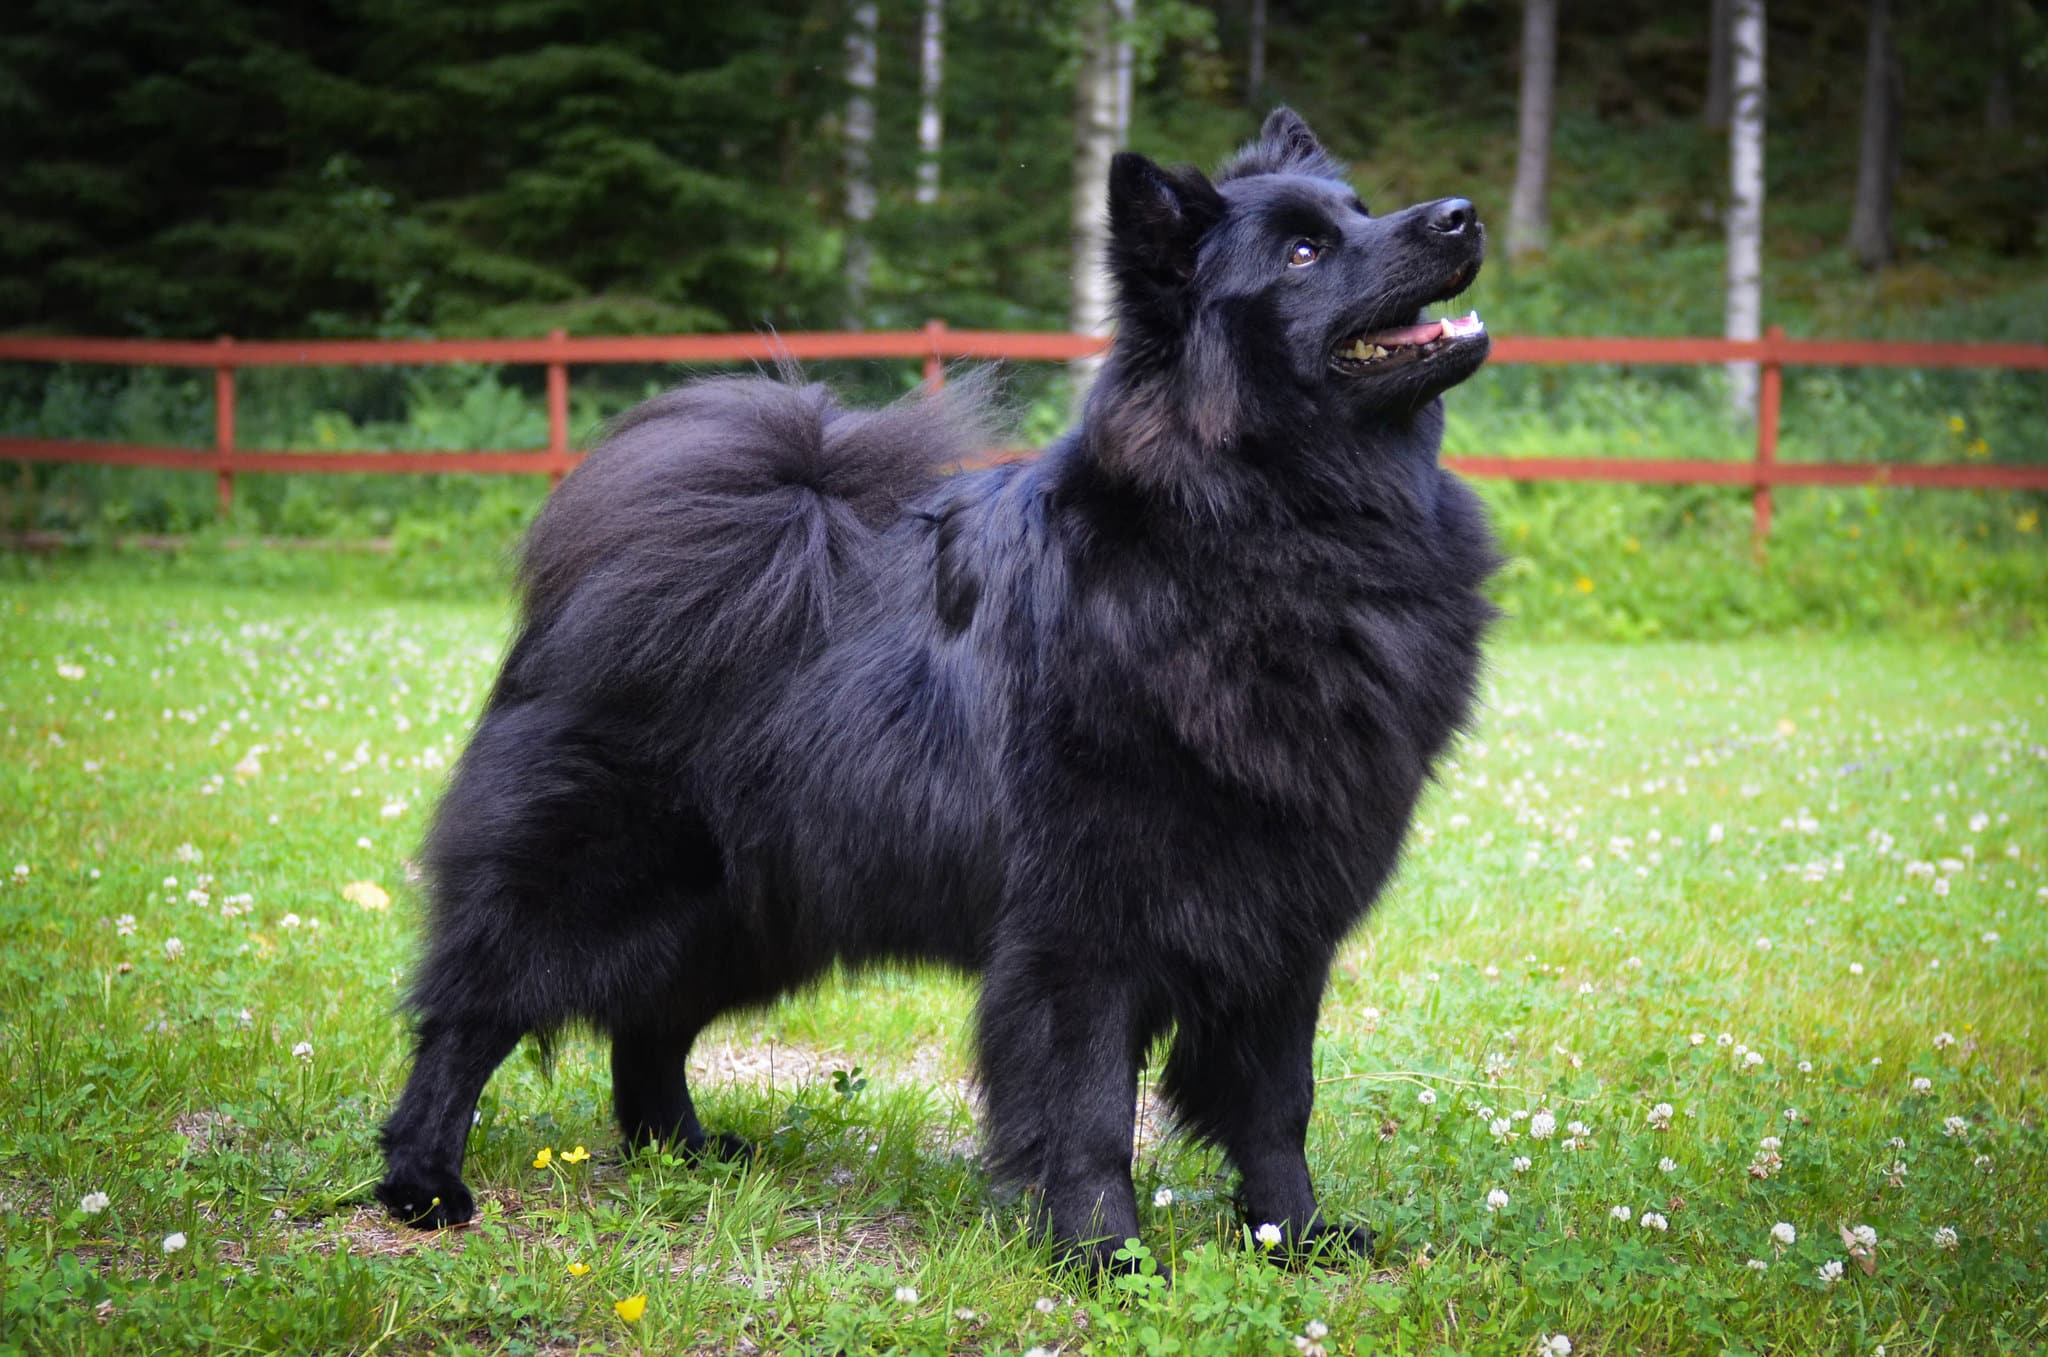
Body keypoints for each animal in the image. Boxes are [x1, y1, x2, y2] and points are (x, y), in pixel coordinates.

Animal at [376, 108, 1499, 1277]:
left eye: (1360, 212)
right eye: (1302, 253)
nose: (1461, 214)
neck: (1274, 526)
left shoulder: (1284, 925)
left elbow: (1278, 1105)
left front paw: (1299, 1238)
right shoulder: (1081, 926)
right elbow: (1089, 1109)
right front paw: (1104, 1256)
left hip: (748, 907)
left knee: (651, 1022)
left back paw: (679, 1147)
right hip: (593, 878)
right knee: (469, 1017)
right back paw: (423, 1182)